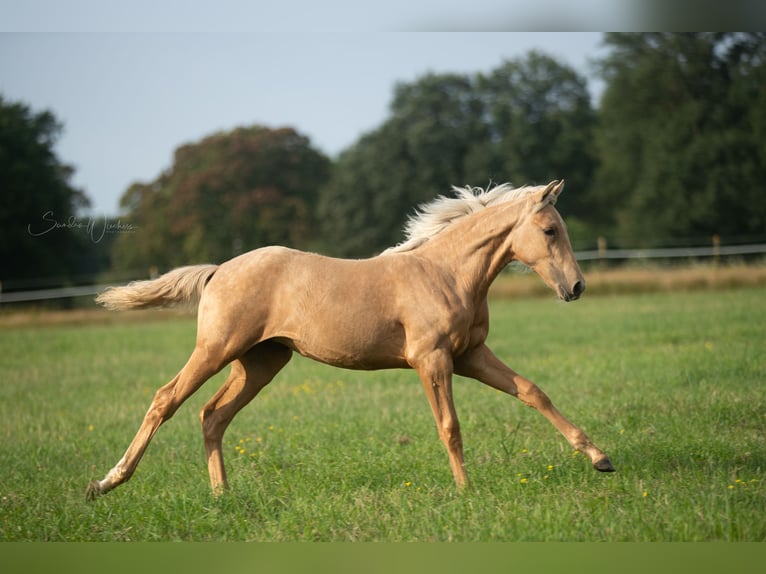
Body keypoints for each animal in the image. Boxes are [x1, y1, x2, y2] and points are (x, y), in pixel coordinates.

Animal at [88, 182, 616, 502]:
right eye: (549, 230)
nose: (576, 287)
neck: (446, 273)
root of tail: (219, 270)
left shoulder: (470, 355)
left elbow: (532, 391)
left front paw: (601, 459)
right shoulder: (433, 360)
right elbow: (450, 425)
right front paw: (466, 491)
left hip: (260, 362)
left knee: (212, 415)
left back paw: (222, 496)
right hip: (216, 350)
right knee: (166, 400)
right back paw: (107, 483)